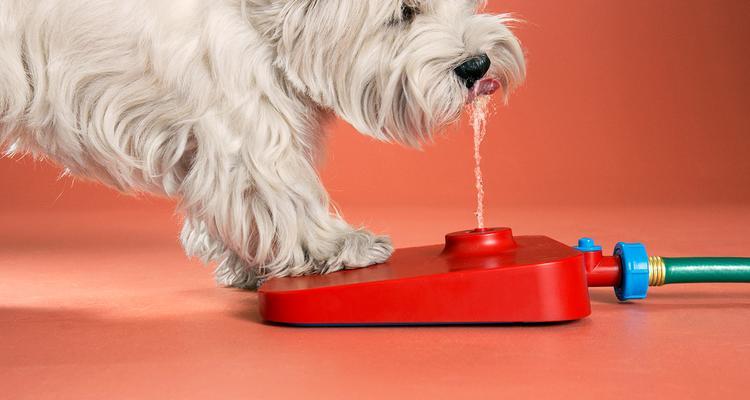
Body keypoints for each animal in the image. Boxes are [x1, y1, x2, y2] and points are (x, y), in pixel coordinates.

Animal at [0, 0, 524, 288]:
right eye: (404, 12)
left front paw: (246, 265)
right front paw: (338, 247)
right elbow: (282, 193)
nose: (477, 65)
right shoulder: (245, 130)